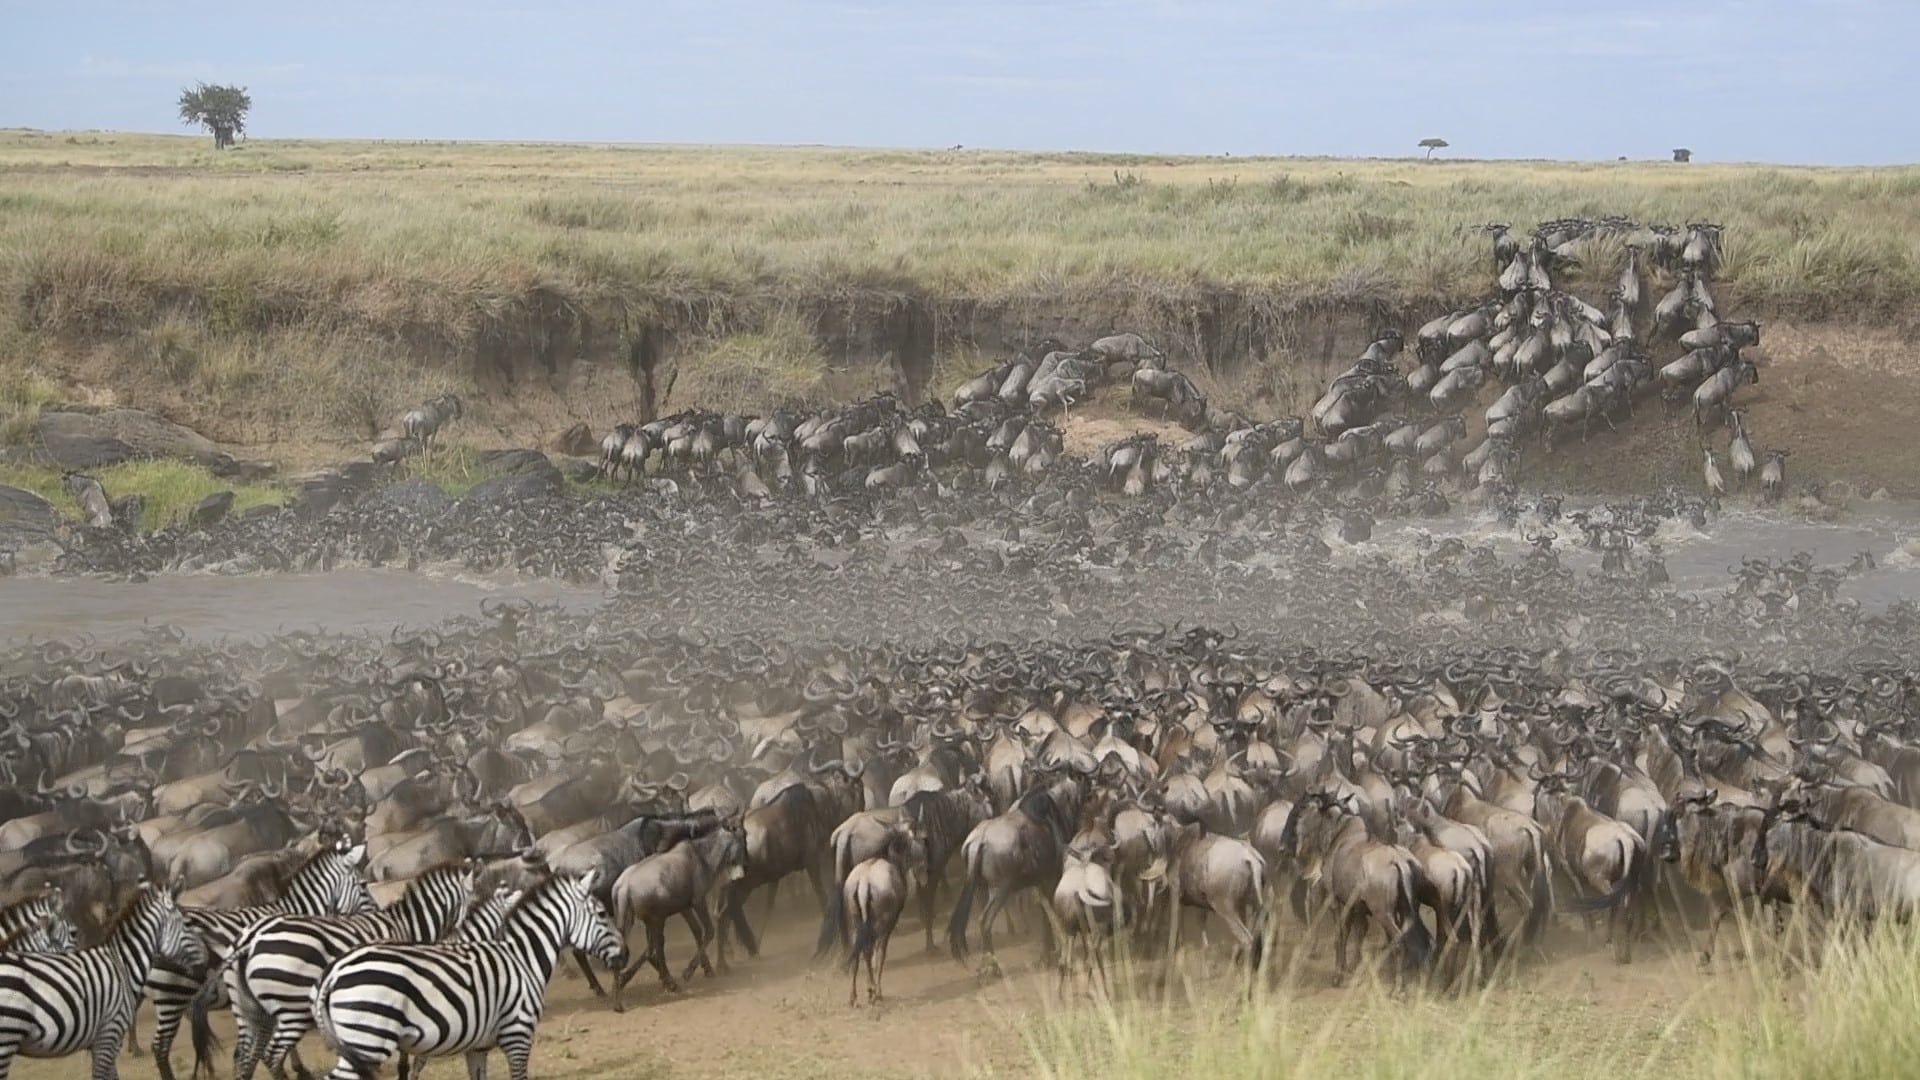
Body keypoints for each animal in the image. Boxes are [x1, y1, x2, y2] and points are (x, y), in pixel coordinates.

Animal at [202, 860, 480, 1080]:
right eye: (475, 902)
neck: (408, 925)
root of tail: (251, 939)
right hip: (291, 1006)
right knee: (271, 1055)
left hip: (246, 1006)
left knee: (244, 1056)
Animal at [311, 864, 618, 1076]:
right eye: (603, 914)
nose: (625, 954)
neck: (523, 957)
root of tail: (335, 970)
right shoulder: (518, 1034)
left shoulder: (477, 1046)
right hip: (369, 1040)